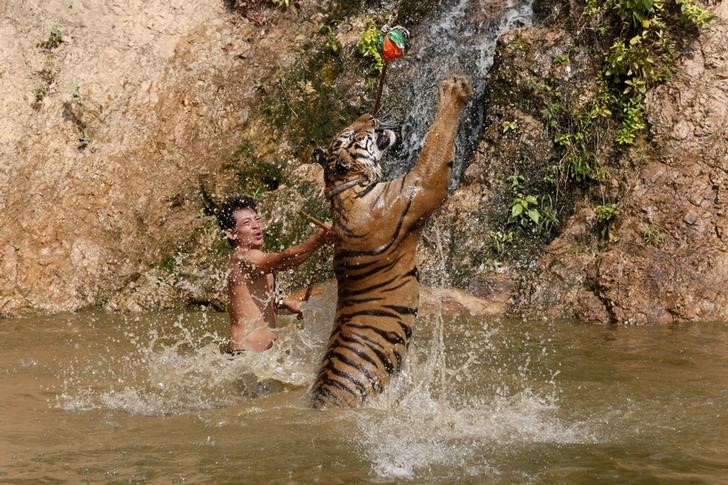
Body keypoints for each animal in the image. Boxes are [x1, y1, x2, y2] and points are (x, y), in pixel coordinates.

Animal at [308, 76, 472, 408]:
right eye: (354, 134)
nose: (367, 115)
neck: (345, 191)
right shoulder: (421, 185)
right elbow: (437, 145)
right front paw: (452, 90)